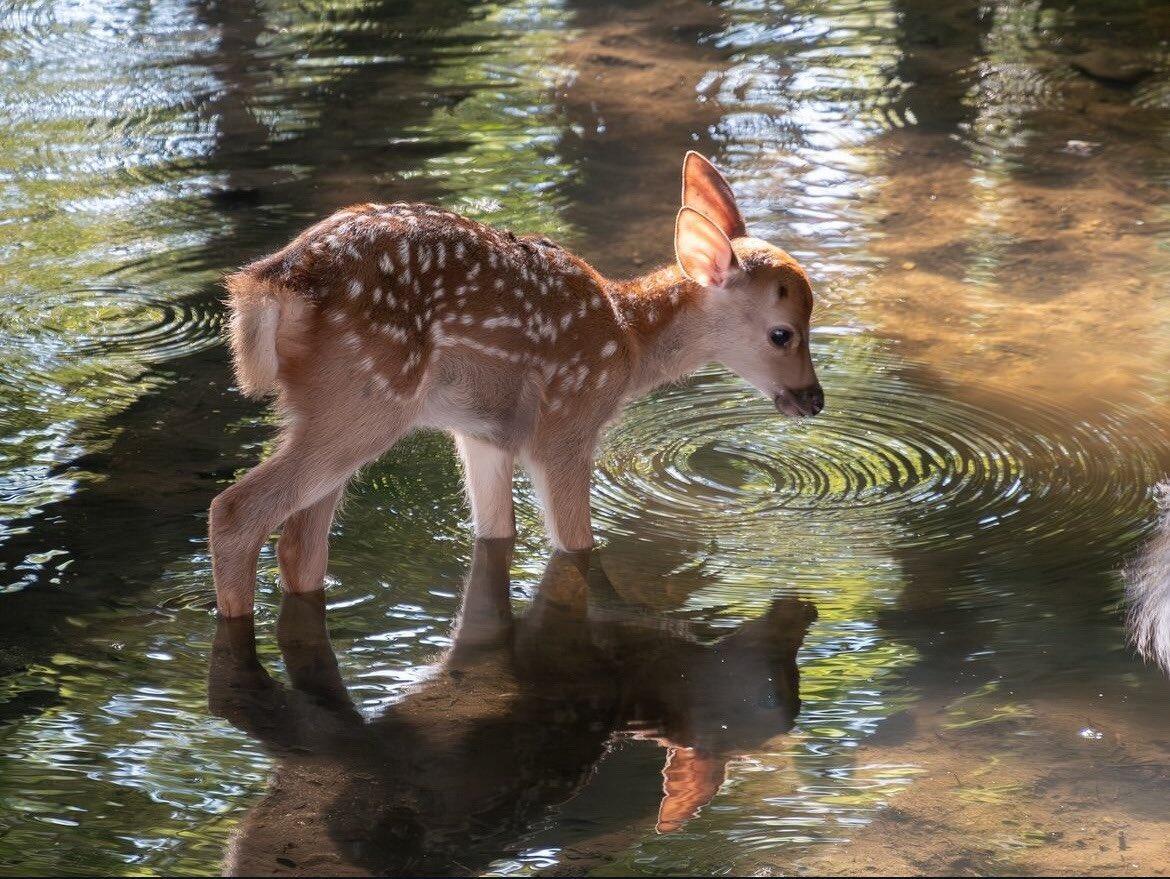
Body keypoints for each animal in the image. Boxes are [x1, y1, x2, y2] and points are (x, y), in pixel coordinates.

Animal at [211, 152, 822, 616]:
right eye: (783, 333)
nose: (814, 400)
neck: (628, 340)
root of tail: (272, 283)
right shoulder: (566, 429)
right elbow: (576, 547)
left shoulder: (483, 436)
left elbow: (495, 538)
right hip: (366, 399)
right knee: (236, 512)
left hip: (330, 409)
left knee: (300, 546)